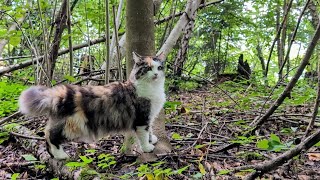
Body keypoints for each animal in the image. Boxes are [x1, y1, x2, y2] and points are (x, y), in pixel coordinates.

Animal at [18, 51, 166, 160]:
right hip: (74, 126)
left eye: (159, 68)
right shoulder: (142, 117)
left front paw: (152, 139)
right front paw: (147, 147)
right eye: (147, 68)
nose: (156, 74)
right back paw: (60, 155)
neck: (153, 88)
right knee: (50, 135)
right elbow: (144, 133)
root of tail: (62, 93)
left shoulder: (150, 116)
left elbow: (150, 129)